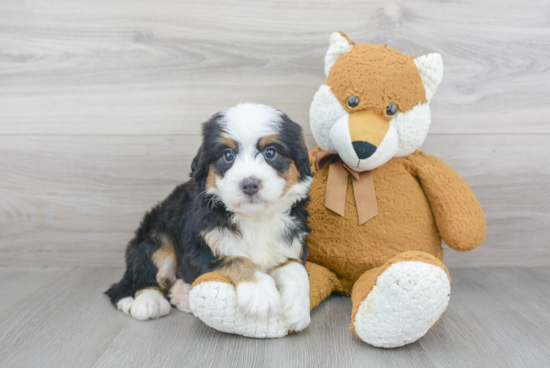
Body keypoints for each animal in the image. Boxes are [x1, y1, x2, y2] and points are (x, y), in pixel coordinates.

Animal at [106, 103, 314, 330]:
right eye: (228, 155)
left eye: (270, 152)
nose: (250, 184)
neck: (254, 218)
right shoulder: (198, 253)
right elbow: (237, 259)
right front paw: (260, 293)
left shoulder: (290, 243)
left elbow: (296, 268)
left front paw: (298, 309)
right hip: (156, 236)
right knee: (136, 280)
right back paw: (148, 302)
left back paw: (181, 294)